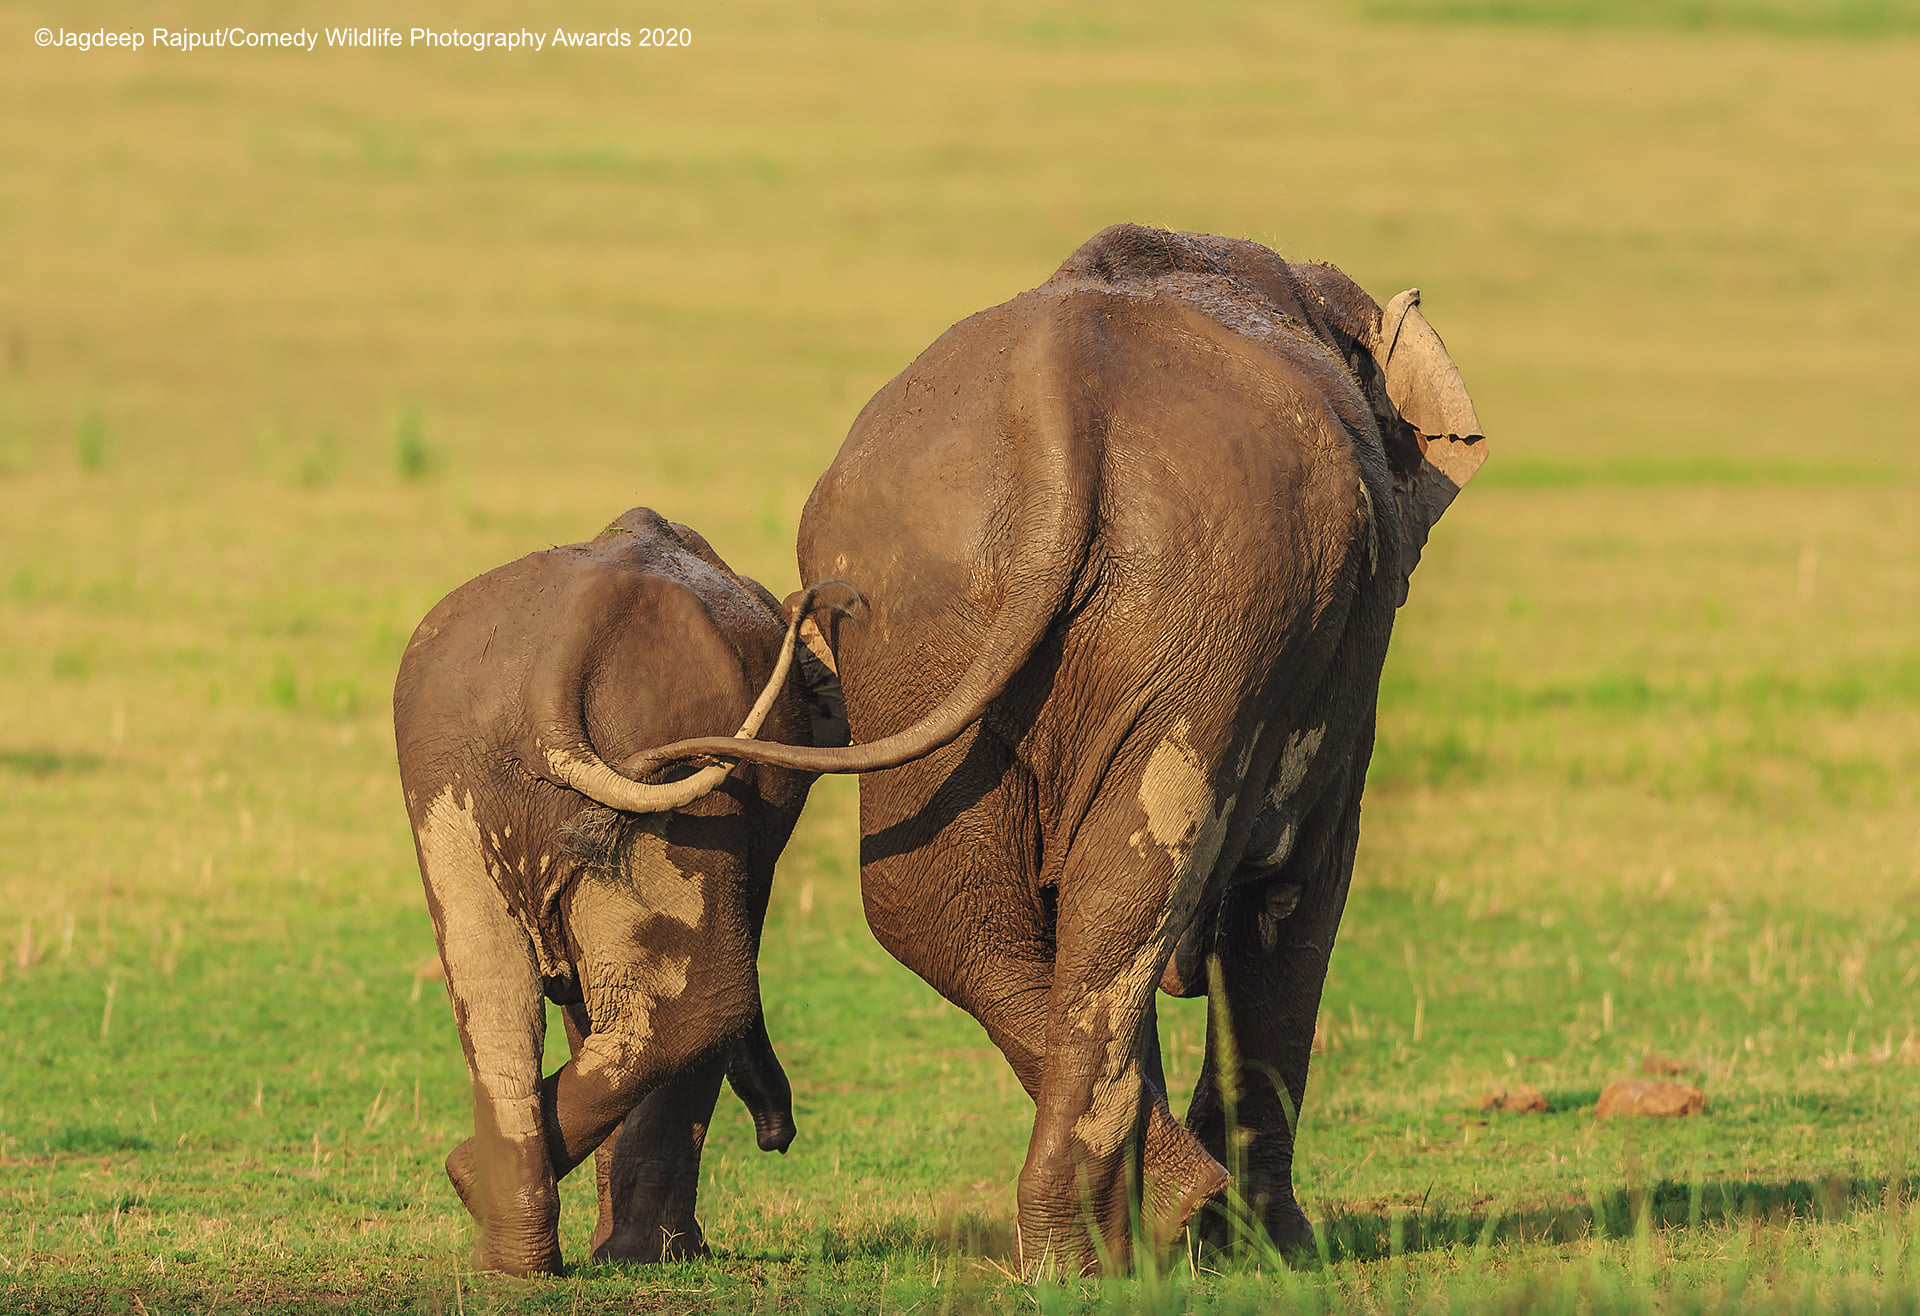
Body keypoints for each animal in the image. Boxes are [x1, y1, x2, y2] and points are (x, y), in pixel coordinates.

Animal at [391, 507, 848, 1275]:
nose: (776, 1136)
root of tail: (566, 651)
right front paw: (659, 1259)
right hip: (675, 768)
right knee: (703, 1006)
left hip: (447, 770)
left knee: (497, 995)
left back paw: (505, 1250)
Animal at [637, 225, 1489, 1275]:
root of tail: (1053, 413)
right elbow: (1299, 889)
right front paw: (1278, 1252)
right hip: (1201, 604)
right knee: (1133, 882)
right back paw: (1154, 1221)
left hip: (920, 620)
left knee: (947, 909)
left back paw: (1087, 1248)